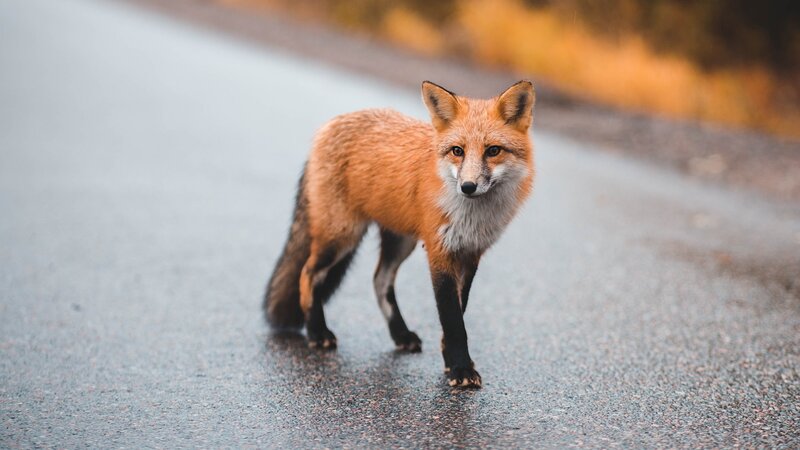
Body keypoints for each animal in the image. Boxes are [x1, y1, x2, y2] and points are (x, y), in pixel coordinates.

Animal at [264, 80, 535, 388]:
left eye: (493, 151)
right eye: (457, 151)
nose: (467, 186)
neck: (472, 217)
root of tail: (330, 124)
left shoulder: (470, 253)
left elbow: (459, 312)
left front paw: (451, 361)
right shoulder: (439, 252)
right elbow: (453, 319)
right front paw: (460, 368)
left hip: (400, 241)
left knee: (379, 280)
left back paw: (400, 334)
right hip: (342, 236)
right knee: (308, 274)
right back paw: (317, 332)